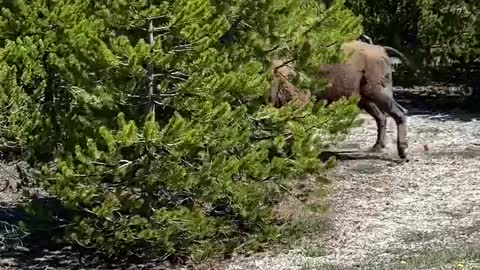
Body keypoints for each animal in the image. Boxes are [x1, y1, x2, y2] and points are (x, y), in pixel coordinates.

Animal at [270, 40, 408, 159]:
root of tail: (381, 49)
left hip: (377, 92)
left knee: (399, 113)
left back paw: (403, 152)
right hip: (365, 100)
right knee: (382, 117)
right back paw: (377, 147)